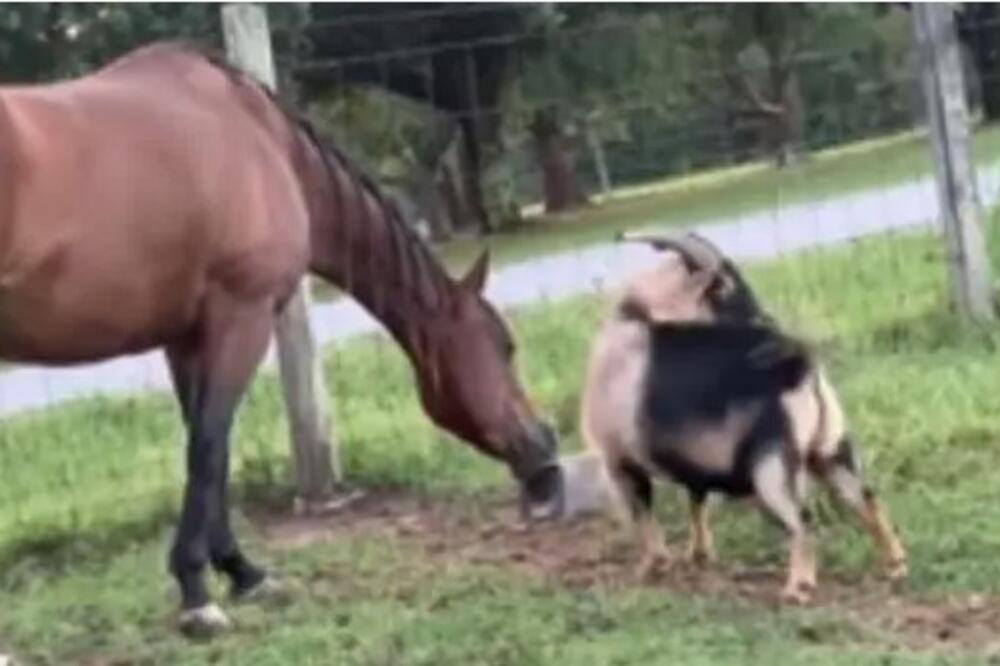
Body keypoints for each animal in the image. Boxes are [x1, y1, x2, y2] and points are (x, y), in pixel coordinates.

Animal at [0, 44, 564, 636]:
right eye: (505, 346)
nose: (546, 462)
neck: (263, 140)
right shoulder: (242, 317)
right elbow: (210, 446)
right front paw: (197, 593)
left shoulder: (187, 336)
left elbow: (205, 448)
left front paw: (241, 571)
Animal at [580, 230, 908, 600]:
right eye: (723, 287)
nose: (766, 320)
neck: (638, 317)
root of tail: (799, 366)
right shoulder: (693, 461)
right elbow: (696, 502)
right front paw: (699, 555)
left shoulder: (619, 460)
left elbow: (643, 516)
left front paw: (653, 567)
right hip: (829, 448)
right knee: (863, 497)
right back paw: (895, 564)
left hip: (772, 466)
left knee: (802, 517)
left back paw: (798, 586)